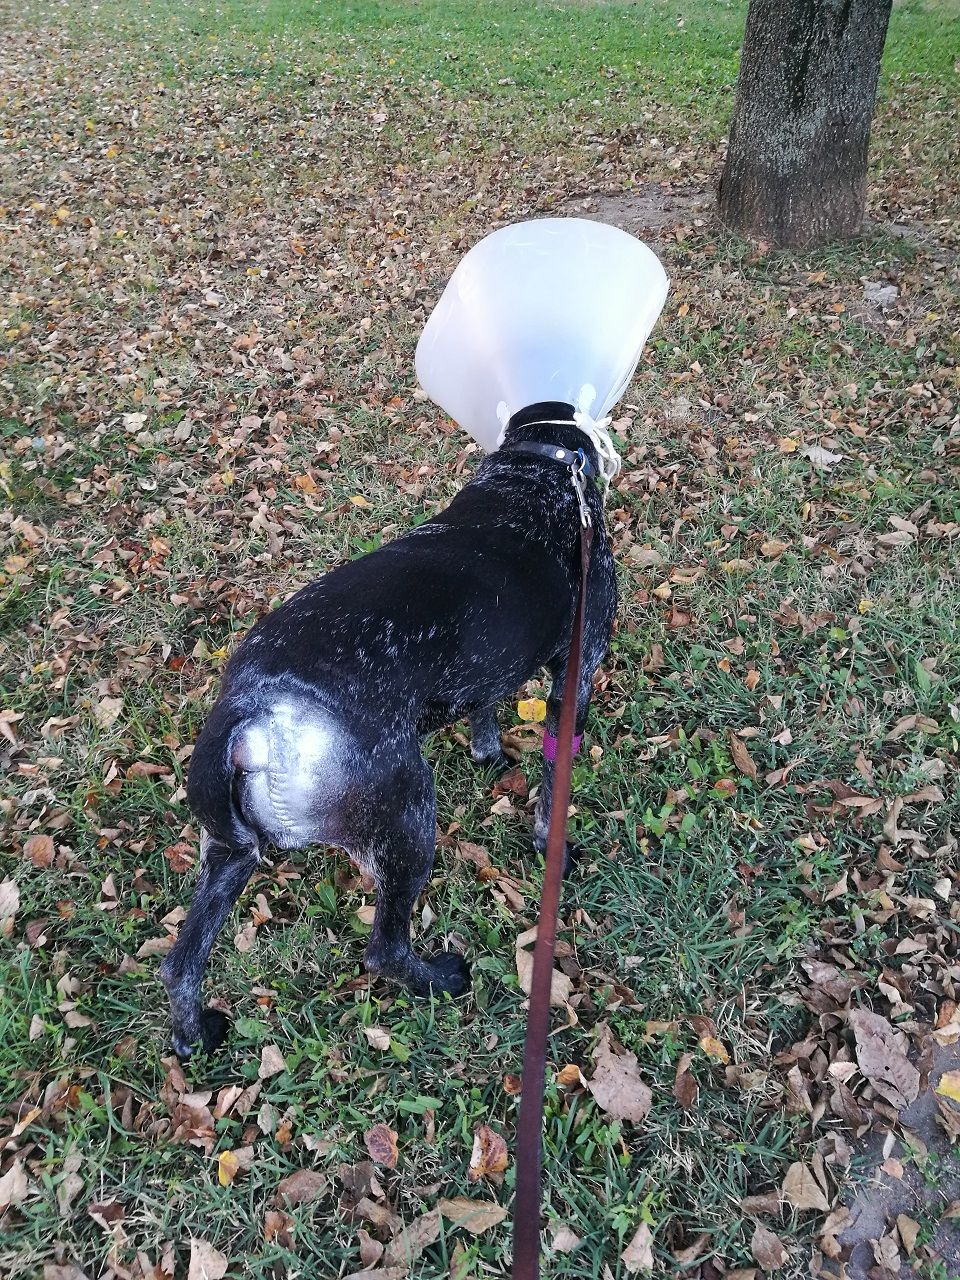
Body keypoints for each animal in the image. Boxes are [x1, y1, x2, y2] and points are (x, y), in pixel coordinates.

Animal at [160, 401, 616, 1058]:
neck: (535, 473)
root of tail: (252, 711)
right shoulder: (573, 678)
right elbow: (554, 779)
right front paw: (550, 843)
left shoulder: (486, 670)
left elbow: (484, 709)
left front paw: (487, 752)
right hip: (409, 825)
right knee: (383, 950)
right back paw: (441, 980)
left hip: (225, 854)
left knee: (181, 964)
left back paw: (194, 1034)